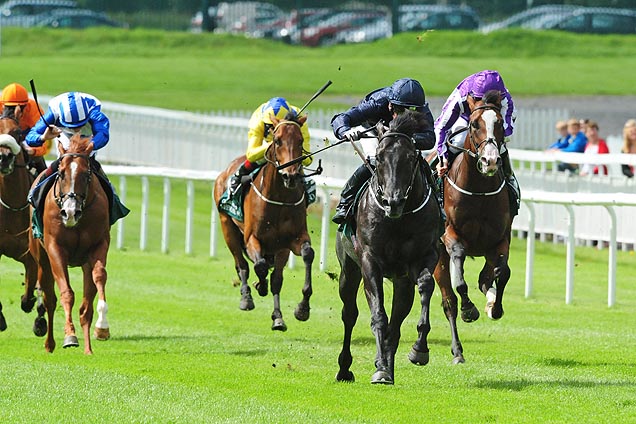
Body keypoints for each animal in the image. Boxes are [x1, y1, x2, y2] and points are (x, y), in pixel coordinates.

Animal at [28, 135, 111, 354]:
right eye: (61, 173)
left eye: (86, 174)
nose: (70, 212)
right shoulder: (55, 249)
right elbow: (66, 293)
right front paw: (70, 336)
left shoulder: (99, 245)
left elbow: (99, 277)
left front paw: (102, 327)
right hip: (41, 257)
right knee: (49, 298)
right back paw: (49, 343)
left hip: (84, 262)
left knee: (85, 305)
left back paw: (88, 348)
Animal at [336, 109, 440, 384]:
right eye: (380, 157)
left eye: (410, 157)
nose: (393, 202)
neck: (397, 220)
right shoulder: (369, 261)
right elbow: (378, 317)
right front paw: (380, 369)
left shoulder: (424, 257)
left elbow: (426, 285)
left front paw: (419, 350)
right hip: (348, 270)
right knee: (349, 314)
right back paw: (345, 368)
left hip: (401, 282)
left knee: (396, 323)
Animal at [432, 89, 512, 364]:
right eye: (475, 124)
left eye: (499, 123)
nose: (490, 161)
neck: (479, 190)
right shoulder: (449, 235)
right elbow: (460, 278)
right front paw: (469, 308)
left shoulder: (500, 239)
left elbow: (502, 273)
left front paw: (495, 307)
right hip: (437, 258)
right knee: (448, 302)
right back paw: (457, 351)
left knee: (485, 279)